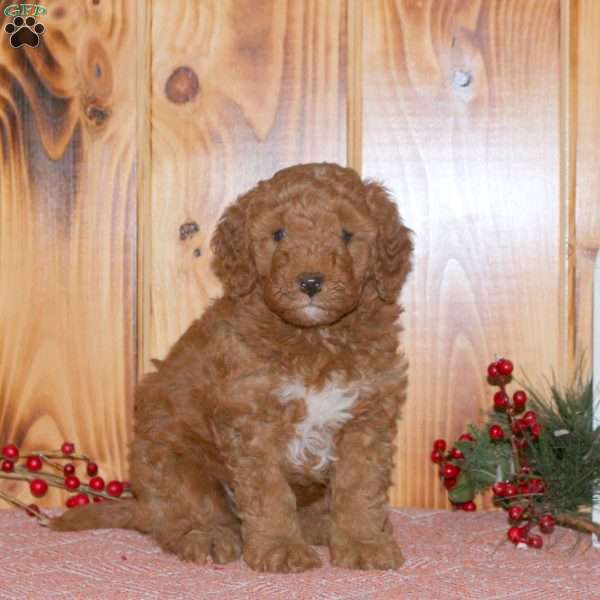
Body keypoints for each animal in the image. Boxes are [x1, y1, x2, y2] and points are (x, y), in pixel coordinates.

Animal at [50, 162, 412, 576]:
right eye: (278, 234)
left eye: (347, 234)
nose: (310, 282)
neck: (314, 339)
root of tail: (140, 506)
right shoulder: (252, 420)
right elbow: (270, 494)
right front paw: (280, 548)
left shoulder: (367, 418)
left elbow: (359, 488)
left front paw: (364, 542)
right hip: (172, 455)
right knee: (180, 515)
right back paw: (207, 536)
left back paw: (323, 526)